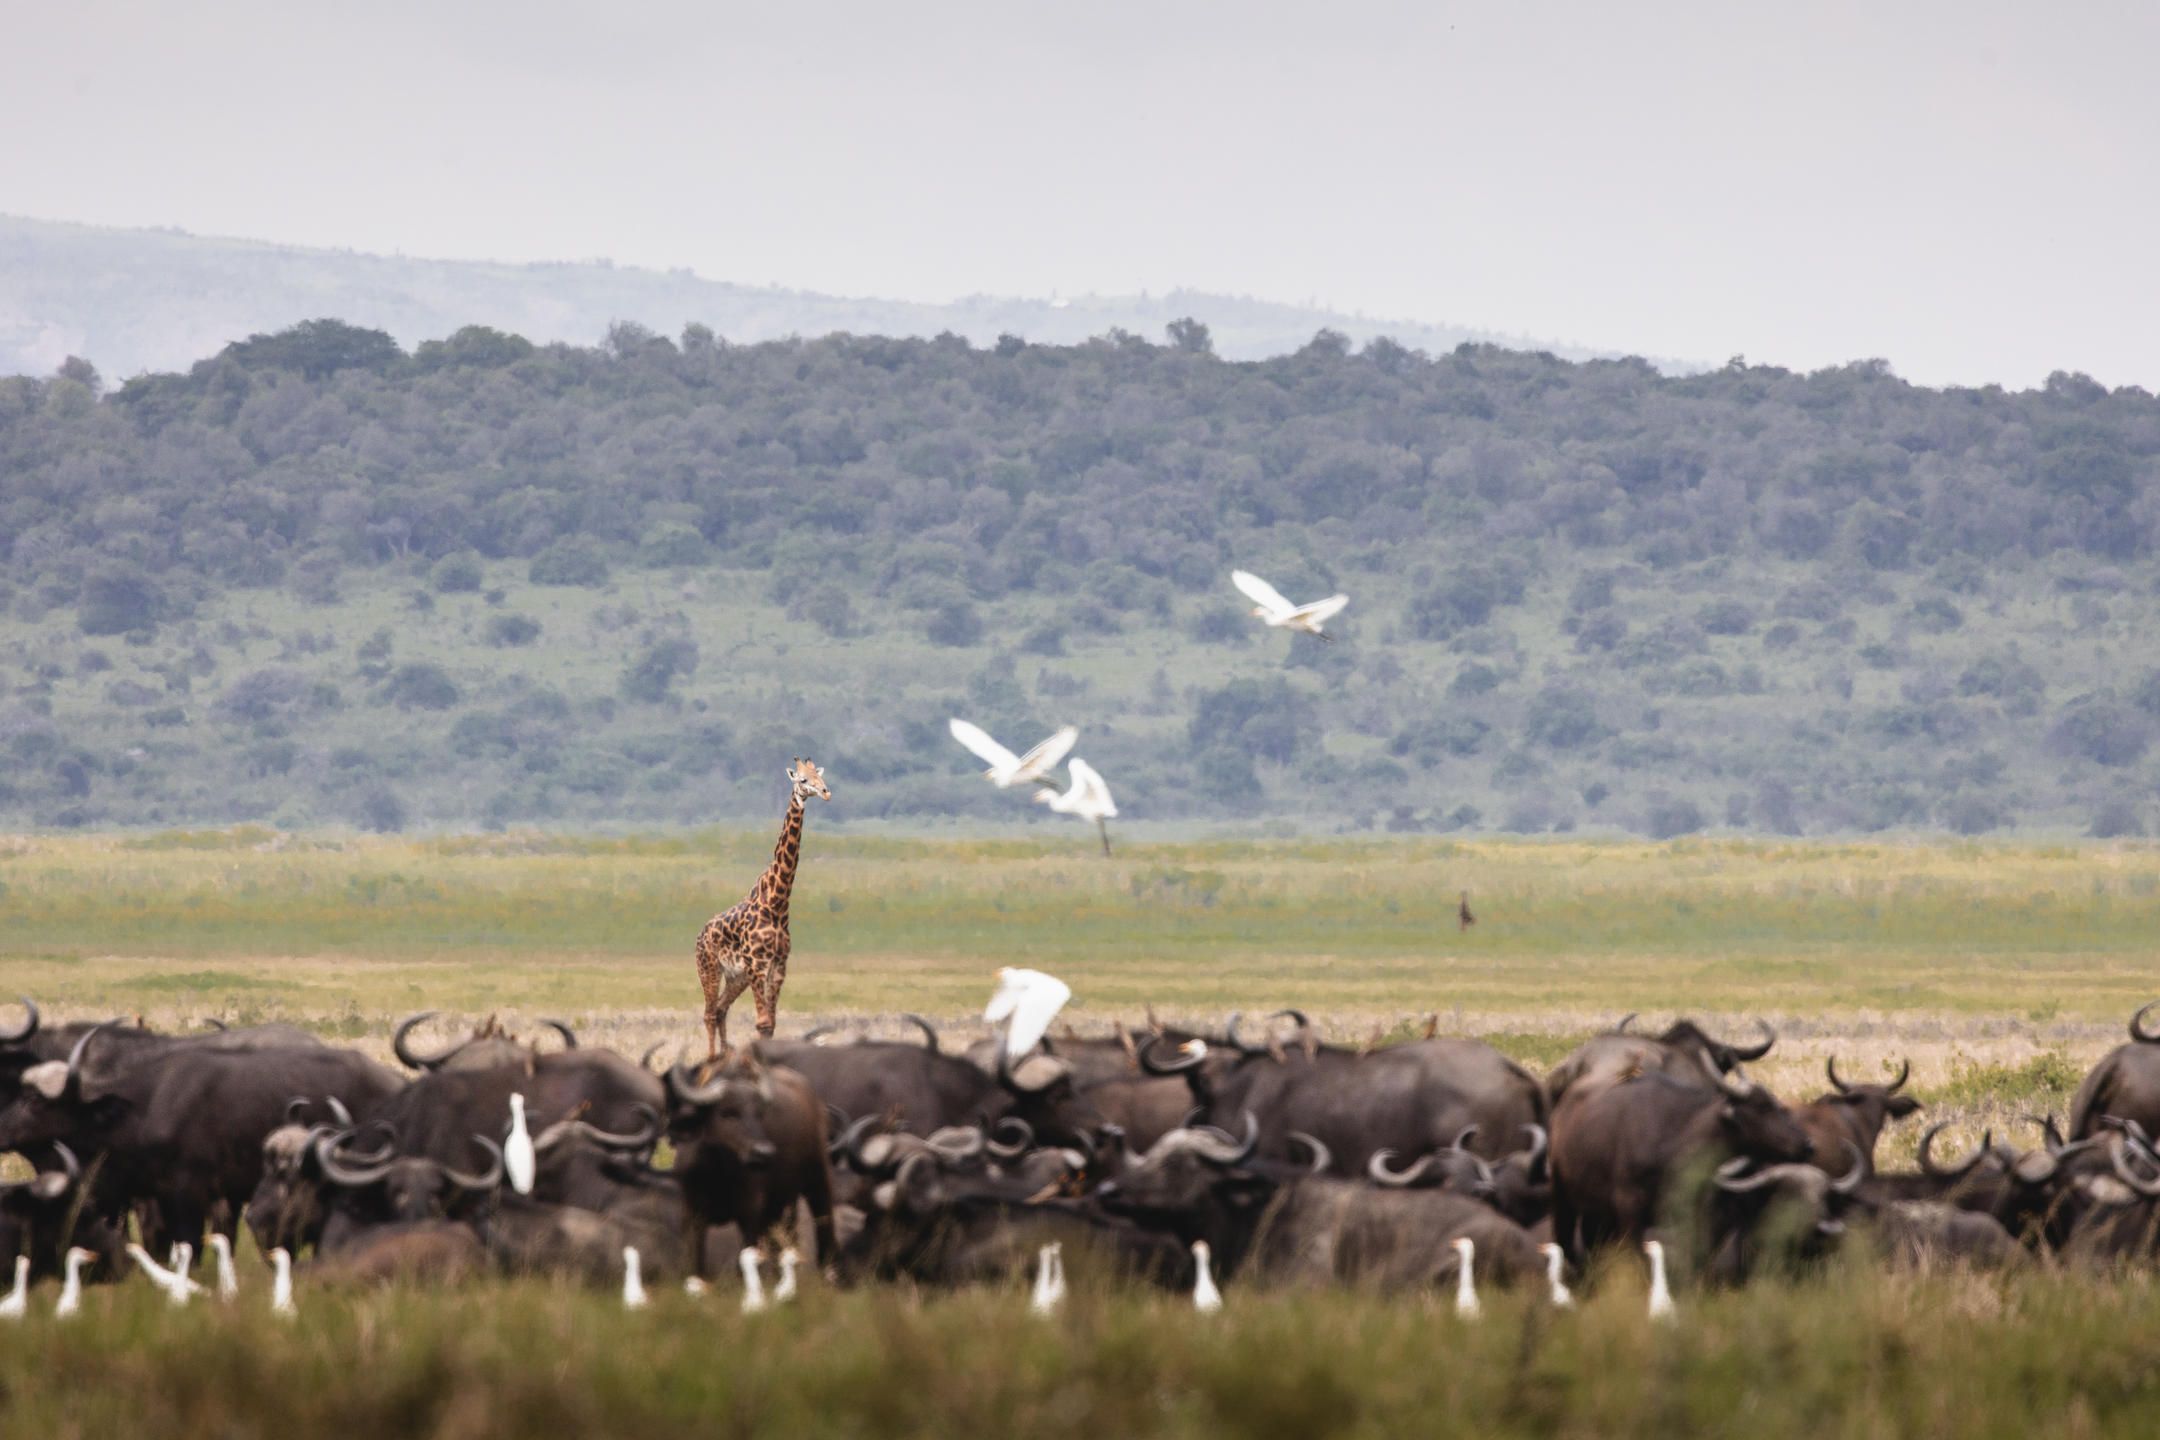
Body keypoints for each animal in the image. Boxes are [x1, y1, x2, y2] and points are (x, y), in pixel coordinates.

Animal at [694, 758, 832, 1057]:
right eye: (802, 780)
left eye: (819, 776)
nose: (826, 792)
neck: (777, 902)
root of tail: (700, 934)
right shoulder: (758, 964)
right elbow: (763, 1023)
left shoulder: (778, 966)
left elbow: (770, 1025)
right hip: (709, 968)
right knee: (709, 1013)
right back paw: (710, 1059)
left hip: (737, 977)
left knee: (720, 1010)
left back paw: (724, 1055)